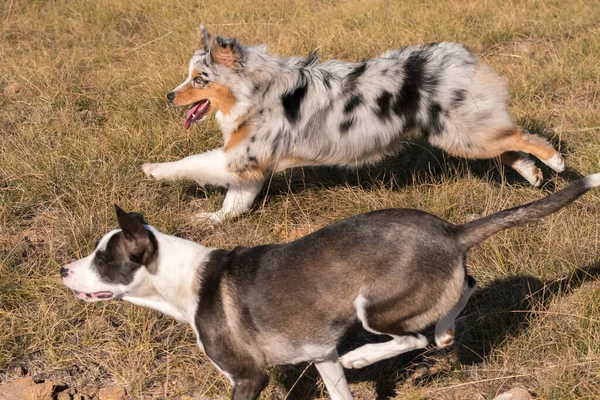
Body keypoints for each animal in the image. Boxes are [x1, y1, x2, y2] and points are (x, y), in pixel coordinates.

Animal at [58, 173, 596, 398]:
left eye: (102, 260)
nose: (63, 271)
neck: (186, 281)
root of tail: (451, 231)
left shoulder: (247, 378)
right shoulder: (321, 357)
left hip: (373, 307)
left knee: (411, 337)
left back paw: (371, 354)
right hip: (425, 288)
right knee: (463, 287)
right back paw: (445, 327)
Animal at [143, 23, 564, 223]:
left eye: (199, 79)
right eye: (188, 76)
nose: (168, 96)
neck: (256, 89)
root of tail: (459, 53)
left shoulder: (241, 155)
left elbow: (192, 163)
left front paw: (153, 169)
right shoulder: (251, 163)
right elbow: (236, 202)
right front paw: (213, 219)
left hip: (460, 133)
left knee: (520, 136)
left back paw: (554, 161)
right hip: (462, 134)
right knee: (508, 144)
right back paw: (533, 173)